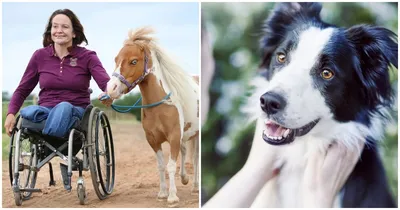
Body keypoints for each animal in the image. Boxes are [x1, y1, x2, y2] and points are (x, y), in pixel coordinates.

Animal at [105, 26, 199, 205]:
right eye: (116, 59)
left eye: (134, 61)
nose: (111, 88)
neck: (159, 106)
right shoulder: (153, 140)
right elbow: (161, 166)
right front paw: (162, 193)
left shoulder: (174, 136)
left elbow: (171, 165)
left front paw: (172, 196)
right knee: (185, 151)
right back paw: (184, 178)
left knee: (195, 157)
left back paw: (195, 186)